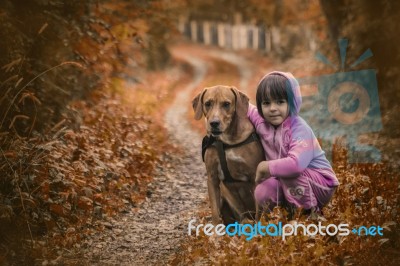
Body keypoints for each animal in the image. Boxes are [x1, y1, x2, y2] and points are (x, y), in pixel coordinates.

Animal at [192, 85, 264, 224]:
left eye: (226, 104)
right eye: (207, 103)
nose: (214, 123)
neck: (226, 142)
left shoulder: (254, 176)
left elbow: (259, 210)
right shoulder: (212, 177)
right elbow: (215, 212)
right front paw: (216, 230)